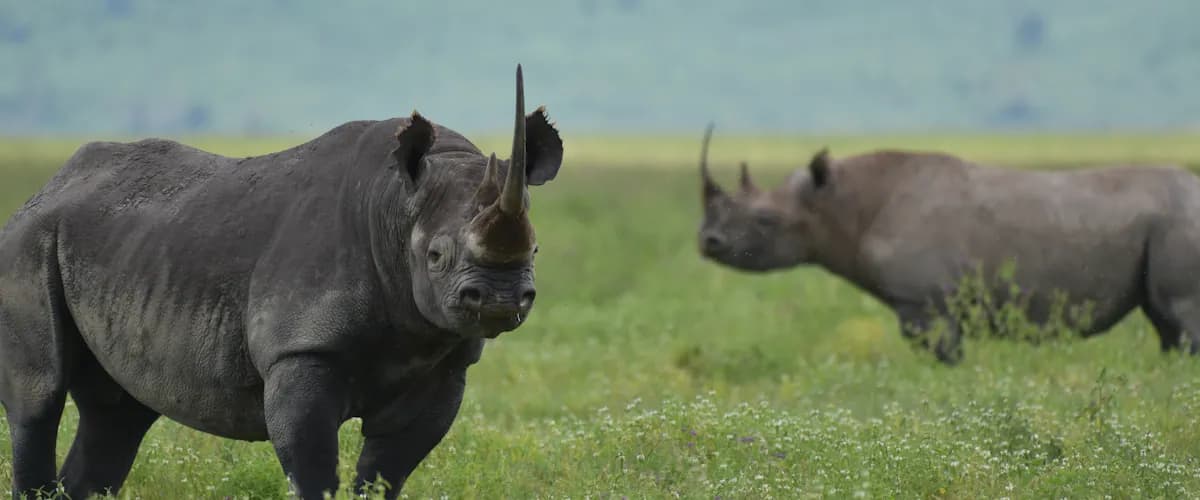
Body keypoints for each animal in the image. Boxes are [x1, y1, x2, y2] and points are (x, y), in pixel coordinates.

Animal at [0, 65, 563, 499]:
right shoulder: (300, 349)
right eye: (436, 256)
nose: (500, 299)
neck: (396, 209)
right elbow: (312, 467)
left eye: (536, 250)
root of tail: (46, 187)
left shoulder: (443, 365)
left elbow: (386, 472)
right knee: (40, 398)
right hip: (28, 242)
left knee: (118, 413)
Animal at [696, 125, 1200, 364]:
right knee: (1166, 325)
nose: (707, 241)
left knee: (1179, 315)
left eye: (765, 221)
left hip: (1181, 221)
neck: (840, 204)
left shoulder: (925, 303)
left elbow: (943, 358)